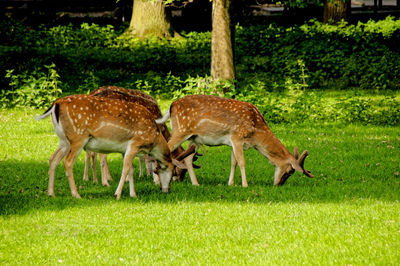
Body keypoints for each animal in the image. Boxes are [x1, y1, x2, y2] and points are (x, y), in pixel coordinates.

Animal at [35, 94, 195, 198]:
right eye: (174, 172)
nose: (166, 189)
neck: (154, 138)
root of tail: (55, 105)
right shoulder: (136, 142)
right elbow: (126, 168)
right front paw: (117, 194)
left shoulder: (125, 149)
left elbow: (131, 169)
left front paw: (133, 194)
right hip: (78, 137)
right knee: (67, 162)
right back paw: (76, 195)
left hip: (64, 140)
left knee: (53, 159)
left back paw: (51, 193)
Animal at [156, 94, 316, 186]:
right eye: (289, 171)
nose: (278, 184)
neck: (256, 132)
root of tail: (171, 106)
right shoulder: (237, 136)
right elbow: (242, 162)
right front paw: (245, 184)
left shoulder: (232, 142)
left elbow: (233, 162)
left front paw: (231, 183)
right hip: (181, 130)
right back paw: (158, 182)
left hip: (193, 138)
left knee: (188, 159)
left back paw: (196, 184)